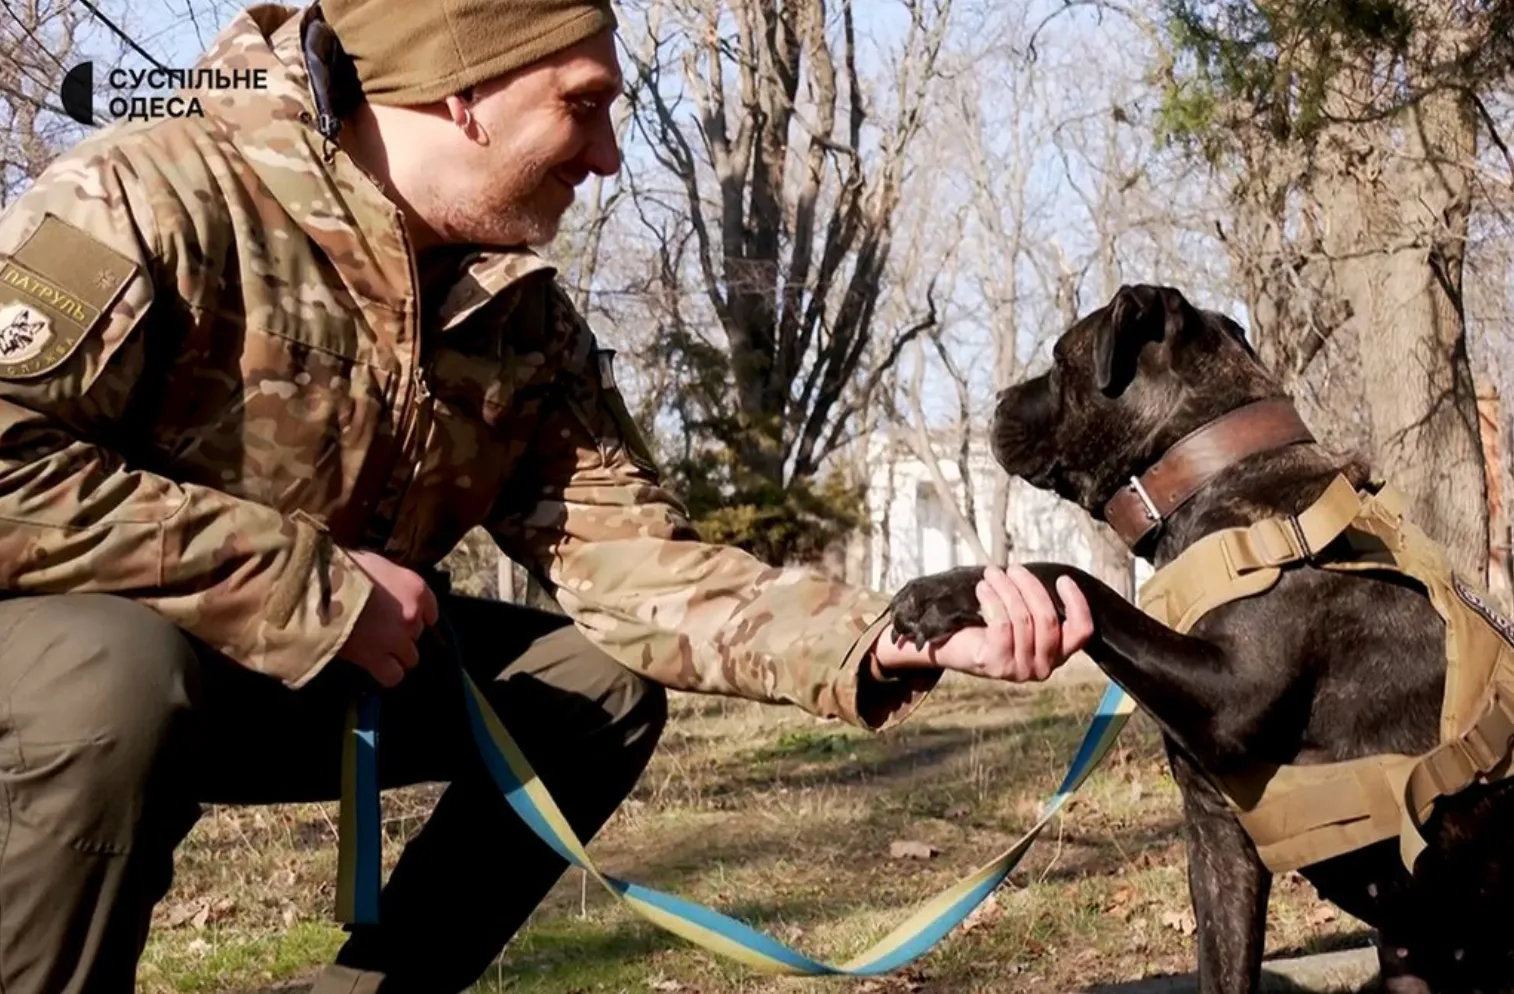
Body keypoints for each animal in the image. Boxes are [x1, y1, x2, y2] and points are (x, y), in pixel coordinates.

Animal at [884, 281, 1514, 992]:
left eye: (1057, 358)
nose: (996, 402)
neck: (1218, 478)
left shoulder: (1226, 699)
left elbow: (1080, 580)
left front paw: (940, 592)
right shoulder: (1218, 842)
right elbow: (1222, 965)